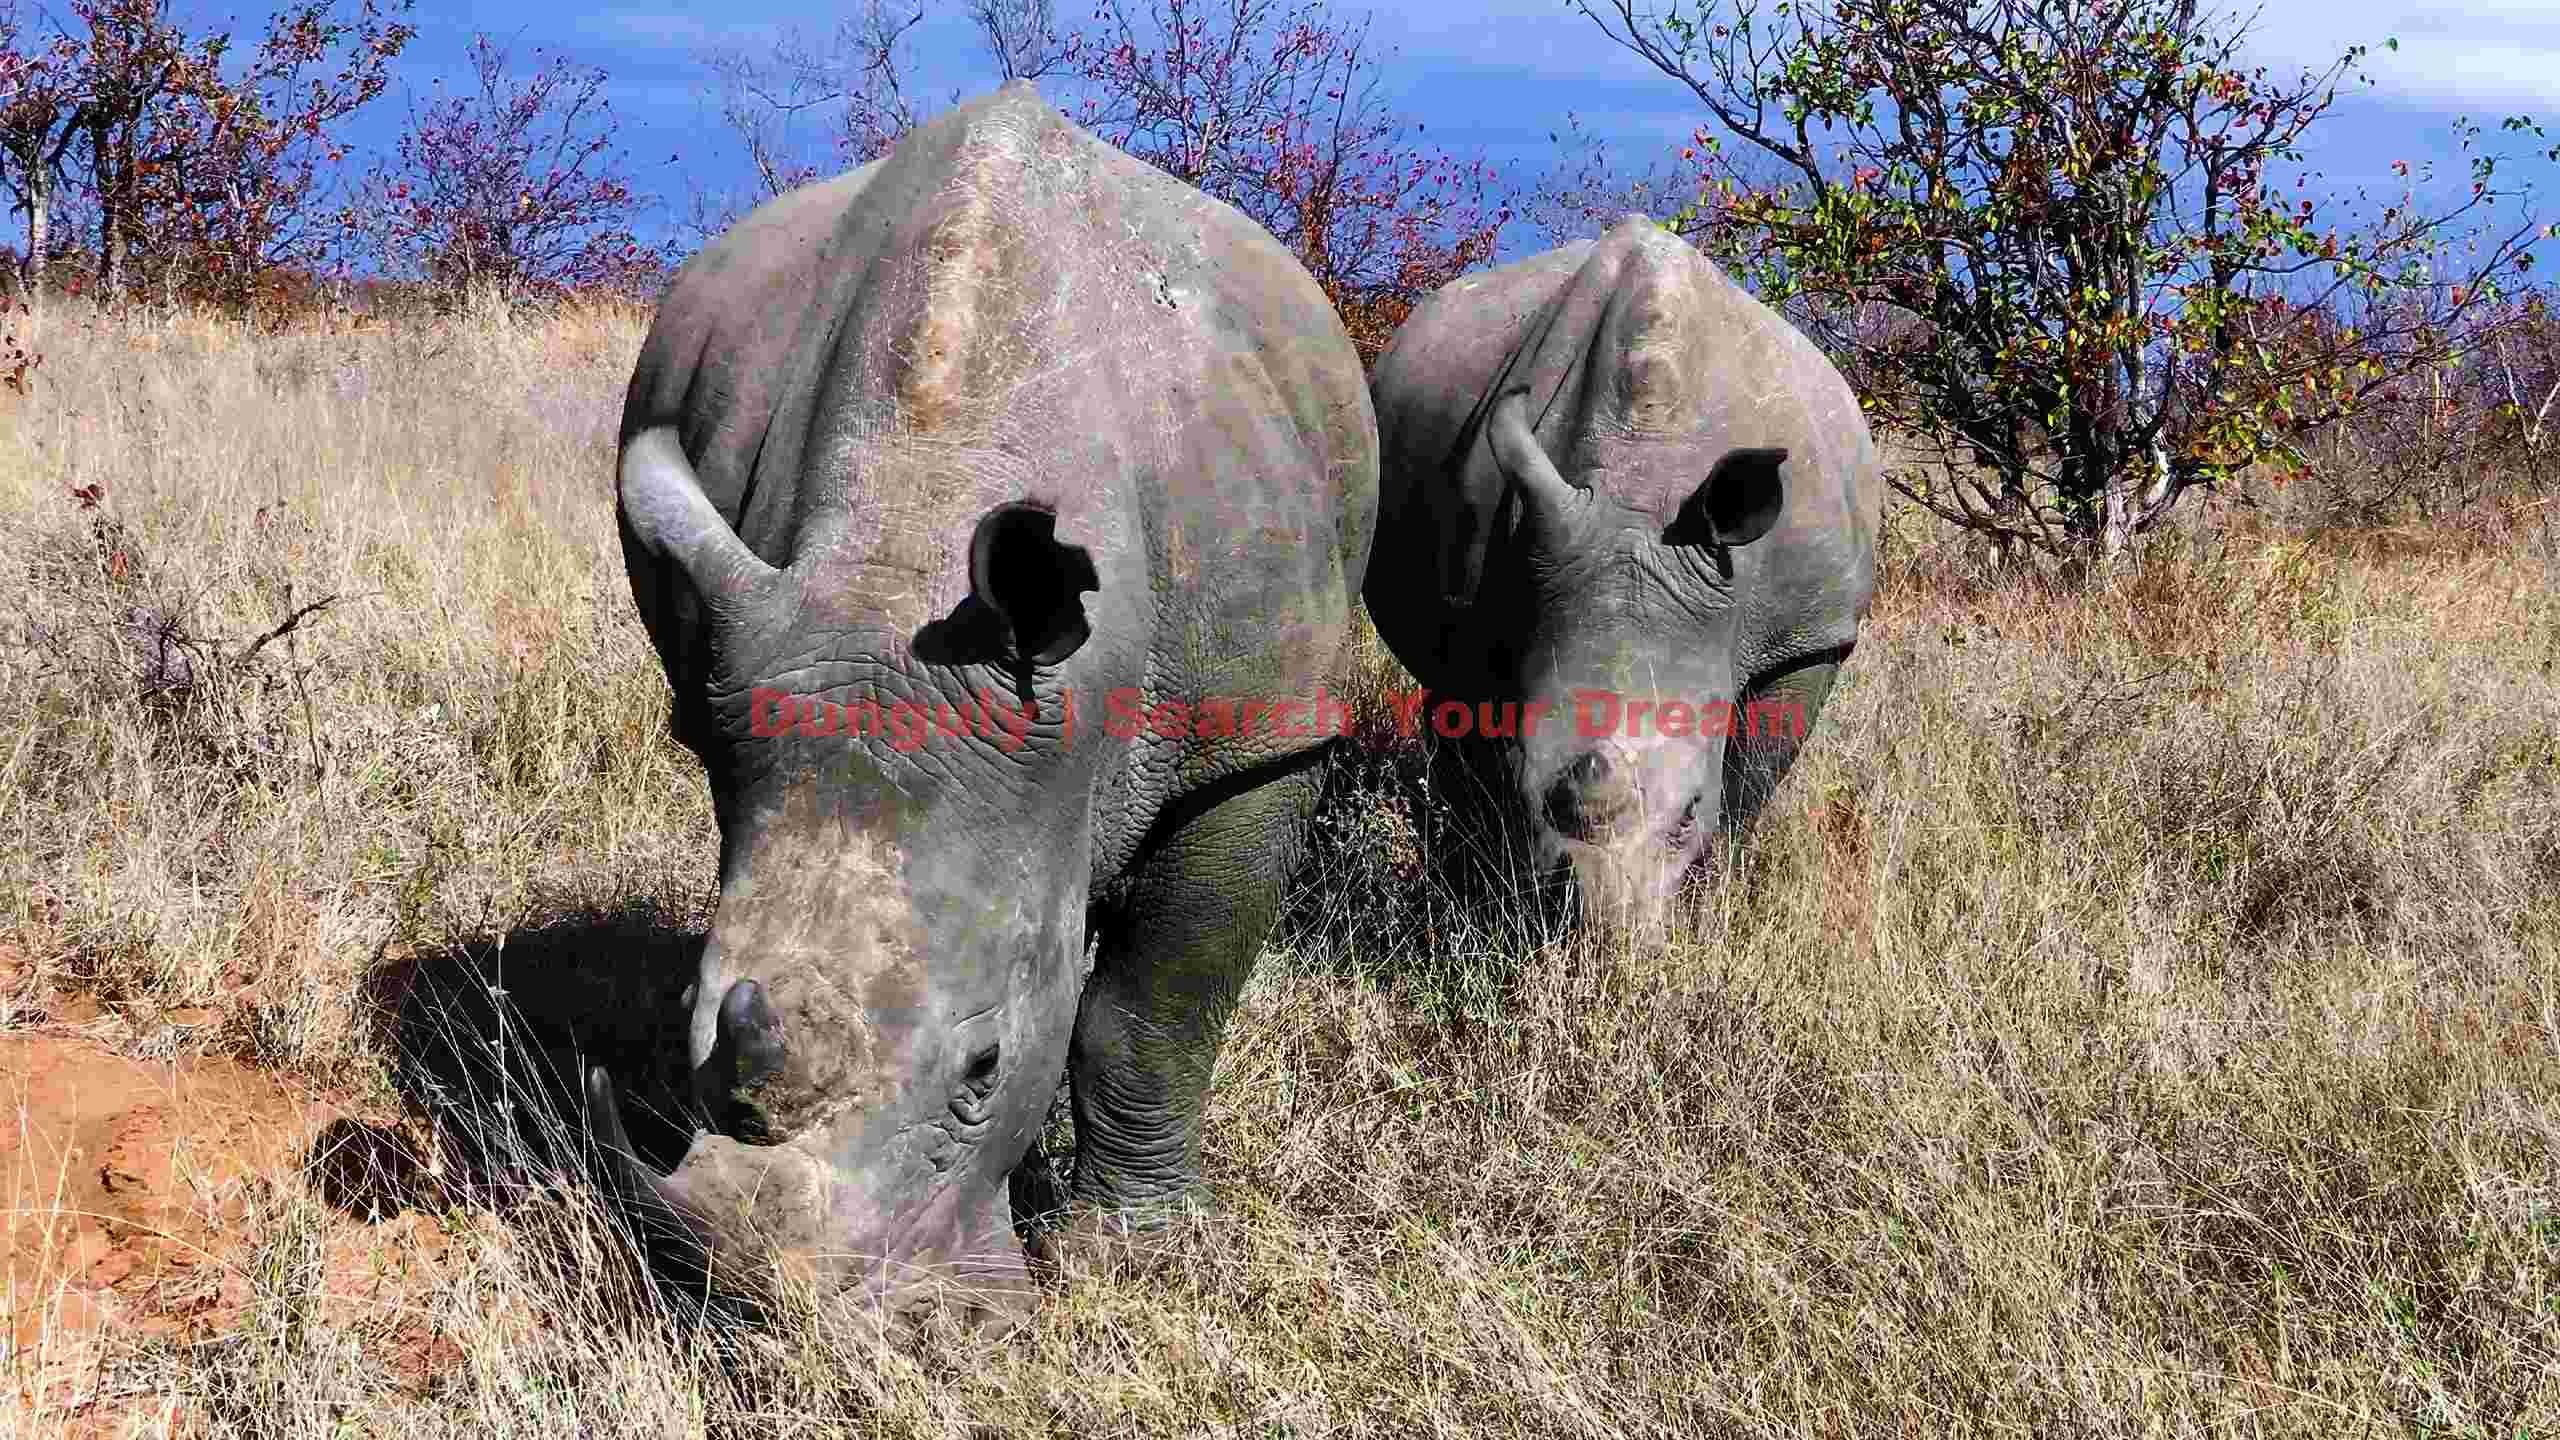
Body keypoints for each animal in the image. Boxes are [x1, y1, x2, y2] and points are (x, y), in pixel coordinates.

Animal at [593, 82, 1376, 1329]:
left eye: (984, 1073)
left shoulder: (1261, 730)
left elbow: (1152, 1007)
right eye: (684, 1024)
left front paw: (1126, 1259)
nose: (782, 1313)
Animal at [1363, 216, 1880, 931]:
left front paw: (1712, 898)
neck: (1640, 486)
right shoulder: (1475, 612)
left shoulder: (1808, 634)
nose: (1610, 937)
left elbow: (1752, 775)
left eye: (1689, 813)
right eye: (1528, 797)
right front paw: (1484, 899)